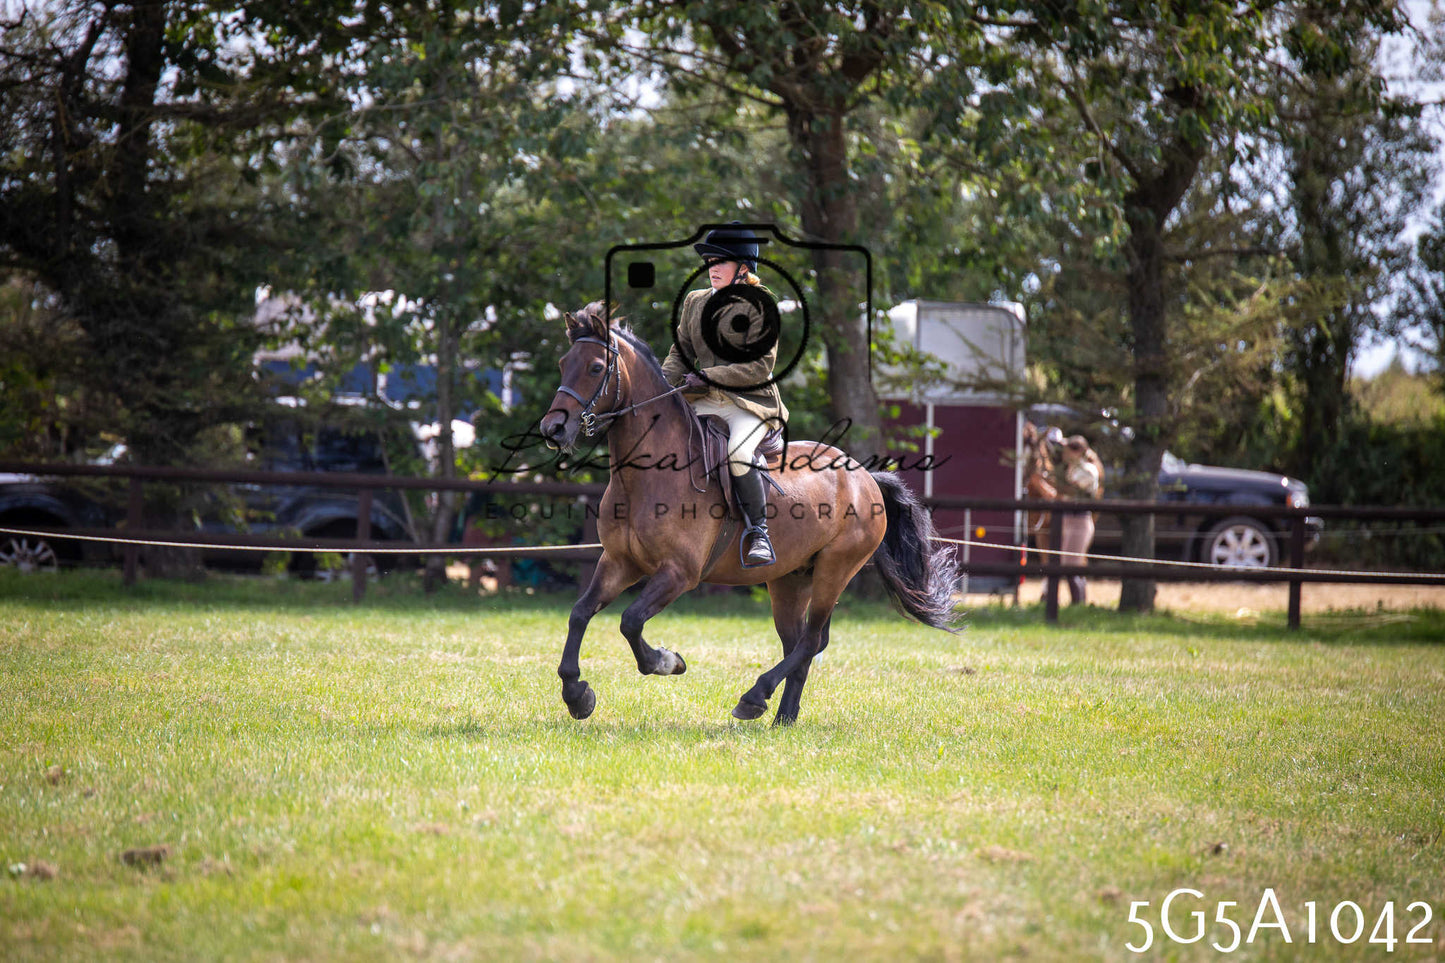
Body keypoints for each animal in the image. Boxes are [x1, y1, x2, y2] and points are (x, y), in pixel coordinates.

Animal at [537, 301, 960, 726]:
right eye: (562, 363)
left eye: (595, 368)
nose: (552, 429)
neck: (647, 476)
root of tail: (865, 476)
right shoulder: (619, 562)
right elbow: (580, 613)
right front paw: (576, 694)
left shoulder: (679, 572)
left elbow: (631, 621)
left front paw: (667, 661)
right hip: (790, 579)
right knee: (799, 644)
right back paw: (782, 717)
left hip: (835, 569)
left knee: (811, 640)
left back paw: (755, 696)